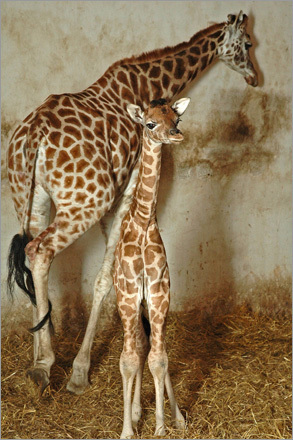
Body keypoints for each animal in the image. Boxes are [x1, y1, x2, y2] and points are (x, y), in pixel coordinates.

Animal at [6, 11, 256, 392]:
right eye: (247, 43)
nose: (255, 77)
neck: (148, 83)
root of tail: (33, 136)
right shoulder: (128, 187)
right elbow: (105, 278)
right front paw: (81, 371)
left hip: (30, 199)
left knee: (30, 254)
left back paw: (37, 359)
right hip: (85, 203)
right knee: (40, 251)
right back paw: (45, 363)